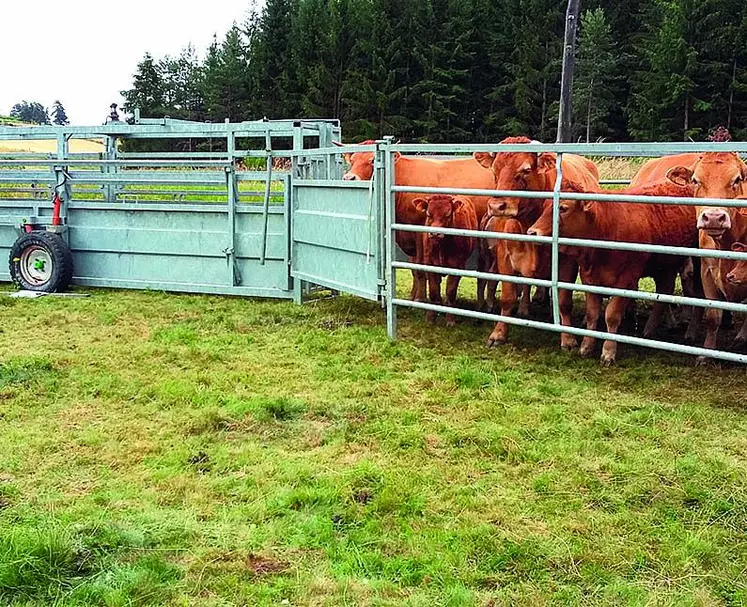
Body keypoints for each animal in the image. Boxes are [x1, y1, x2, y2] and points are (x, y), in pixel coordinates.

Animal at [340, 141, 496, 304]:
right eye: (352, 160)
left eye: (372, 160)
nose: (349, 178)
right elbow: (414, 268)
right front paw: (413, 297)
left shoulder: (420, 233)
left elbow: (421, 268)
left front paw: (420, 298)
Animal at [414, 196, 480, 328]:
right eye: (428, 214)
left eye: (448, 215)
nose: (435, 233)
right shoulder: (430, 264)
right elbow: (433, 291)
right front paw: (430, 318)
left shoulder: (457, 267)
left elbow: (450, 292)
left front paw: (450, 320)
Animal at [474, 137, 600, 346]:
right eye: (494, 170)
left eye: (525, 170)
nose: (497, 206)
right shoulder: (504, 256)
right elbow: (507, 297)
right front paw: (498, 333)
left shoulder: (567, 261)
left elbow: (564, 301)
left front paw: (568, 338)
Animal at [528, 180, 700, 366]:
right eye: (545, 206)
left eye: (563, 208)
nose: (532, 232)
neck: (606, 228)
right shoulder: (590, 279)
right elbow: (592, 314)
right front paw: (587, 346)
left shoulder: (625, 282)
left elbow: (612, 316)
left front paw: (608, 352)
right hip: (665, 266)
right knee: (664, 291)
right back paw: (649, 330)